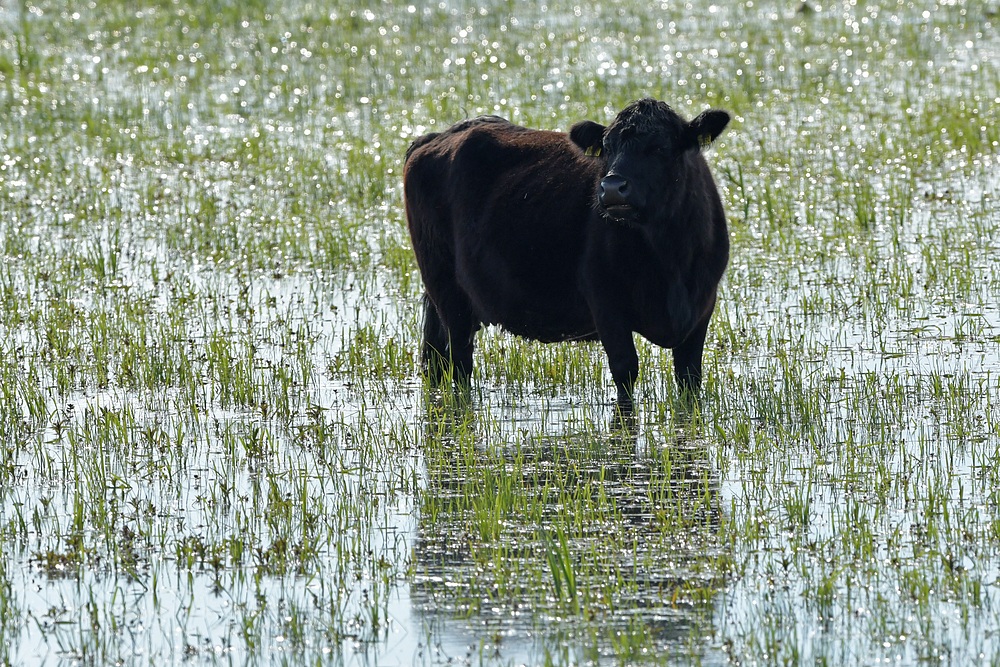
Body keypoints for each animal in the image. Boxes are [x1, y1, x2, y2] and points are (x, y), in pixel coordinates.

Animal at [402, 98, 732, 408]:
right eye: (607, 147)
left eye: (660, 147)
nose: (612, 187)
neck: (669, 257)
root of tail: (440, 136)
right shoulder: (606, 304)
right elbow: (625, 372)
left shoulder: (702, 307)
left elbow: (689, 377)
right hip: (448, 293)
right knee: (460, 363)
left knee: (436, 359)